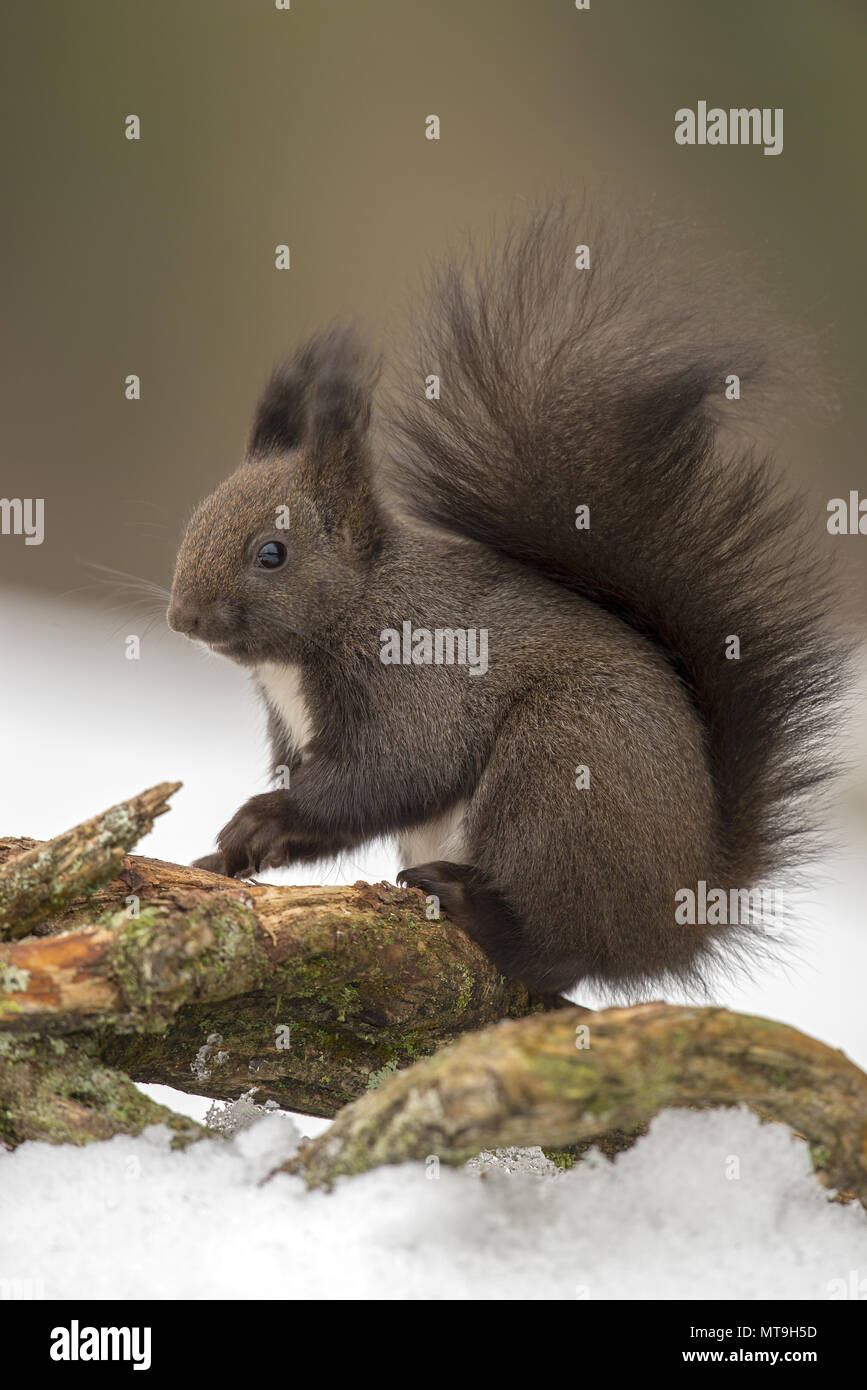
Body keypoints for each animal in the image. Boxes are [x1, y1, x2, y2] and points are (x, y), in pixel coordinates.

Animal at [167, 206, 844, 996]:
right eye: (194, 520)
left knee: (562, 946)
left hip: (559, 773)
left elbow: (390, 774)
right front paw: (225, 861)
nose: (182, 618)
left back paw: (478, 909)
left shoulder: (411, 680)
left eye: (271, 553)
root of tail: (678, 915)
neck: (344, 615)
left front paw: (261, 817)